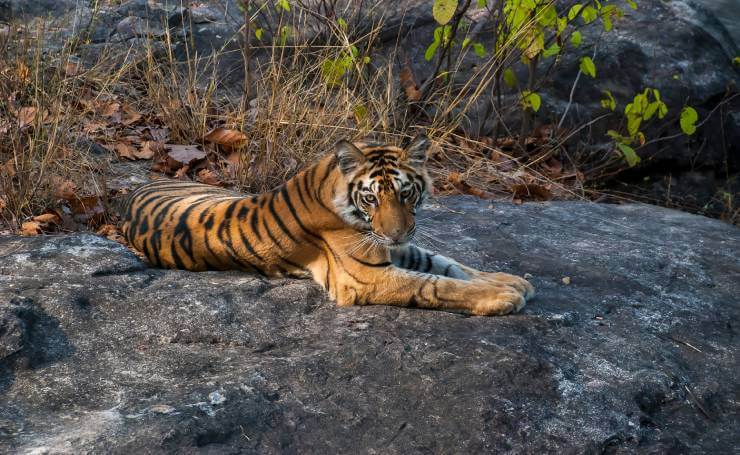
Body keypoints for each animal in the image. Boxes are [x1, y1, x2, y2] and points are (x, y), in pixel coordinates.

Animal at [124, 135, 536, 318]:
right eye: (371, 198)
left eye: (406, 194)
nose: (396, 234)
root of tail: (135, 189)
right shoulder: (366, 276)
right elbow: (436, 284)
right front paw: (503, 297)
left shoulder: (399, 247)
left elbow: (451, 265)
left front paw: (511, 281)